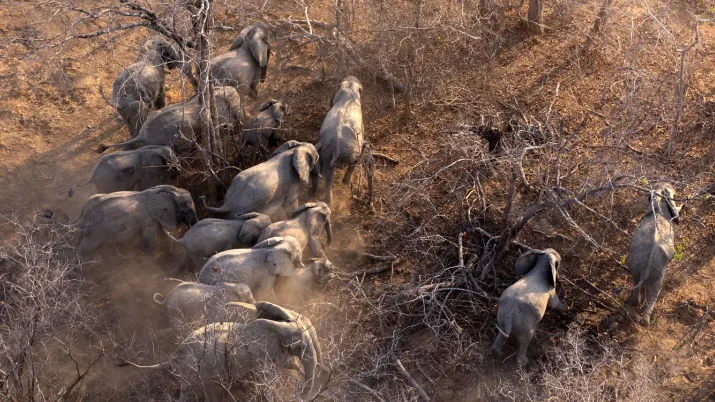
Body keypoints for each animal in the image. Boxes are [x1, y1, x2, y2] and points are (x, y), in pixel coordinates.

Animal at [117, 302, 319, 401]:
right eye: (300, 344)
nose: (301, 392)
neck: (280, 325)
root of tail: (174, 356)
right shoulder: (262, 355)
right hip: (195, 373)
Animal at [619, 183, 680, 326]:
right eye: (673, 193)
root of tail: (645, 271)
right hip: (657, 274)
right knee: (654, 293)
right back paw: (645, 322)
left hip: (635, 266)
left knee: (635, 281)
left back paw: (633, 303)